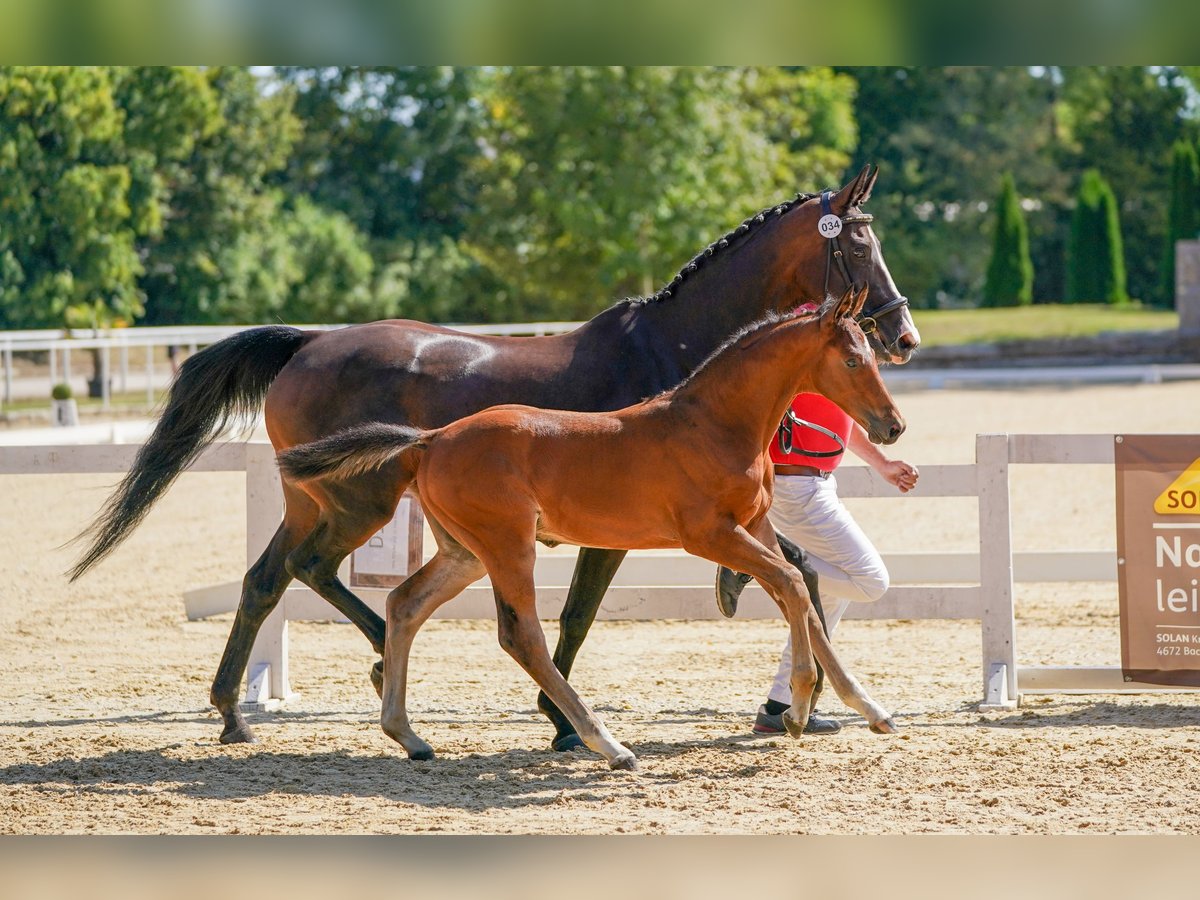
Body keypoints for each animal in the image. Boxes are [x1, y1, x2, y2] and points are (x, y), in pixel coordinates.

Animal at [278, 286, 902, 768]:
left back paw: (409, 735)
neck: (712, 423)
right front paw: (797, 708)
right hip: (508, 545)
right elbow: (793, 585)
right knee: (520, 635)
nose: (892, 425)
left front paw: (869, 709)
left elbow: (799, 599)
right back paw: (606, 743)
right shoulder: (709, 534)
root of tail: (430, 440)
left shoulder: (756, 525)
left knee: (405, 604)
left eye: (870, 353)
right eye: (852, 360)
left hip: (465, 551)